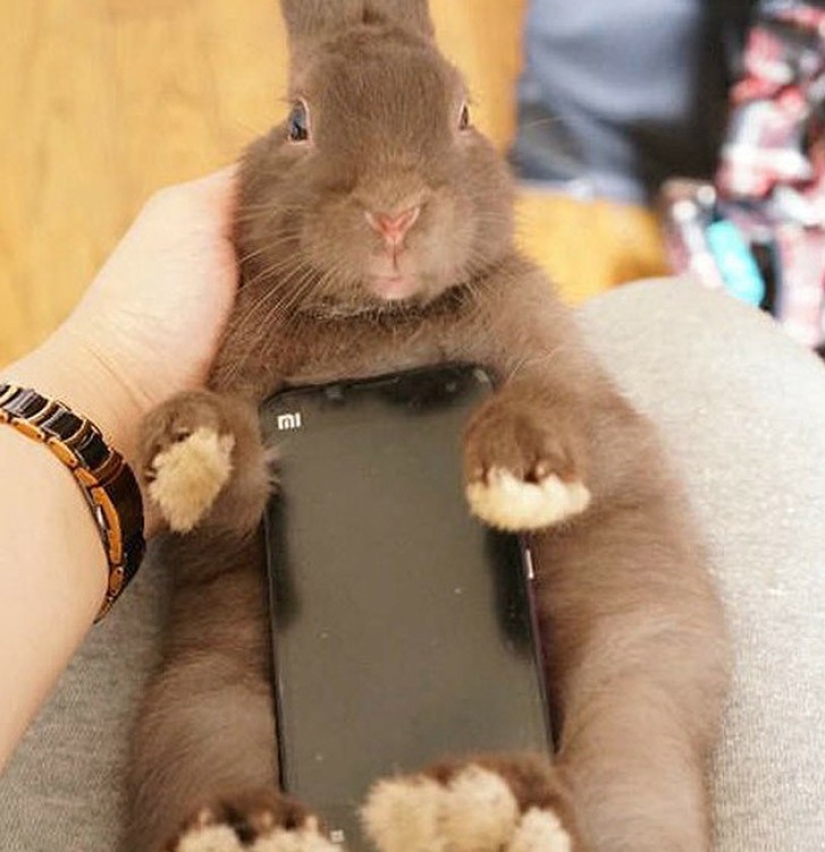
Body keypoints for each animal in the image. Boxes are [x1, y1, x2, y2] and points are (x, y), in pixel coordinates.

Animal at [125, 2, 731, 851]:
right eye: (298, 122)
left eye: (463, 114)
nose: (392, 212)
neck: (383, 322)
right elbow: (227, 495)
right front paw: (187, 443)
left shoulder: (571, 387)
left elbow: (558, 413)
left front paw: (514, 473)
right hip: (196, 710)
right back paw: (266, 827)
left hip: (638, 691)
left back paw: (475, 803)